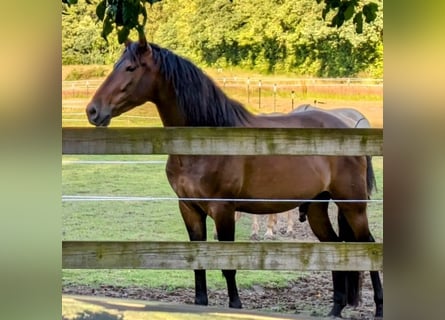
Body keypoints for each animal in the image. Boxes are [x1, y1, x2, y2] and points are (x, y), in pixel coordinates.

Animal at [86, 38, 382, 318]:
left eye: (130, 68)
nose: (93, 111)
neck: (204, 143)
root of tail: (349, 126)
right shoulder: (189, 209)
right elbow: (198, 262)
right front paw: (200, 304)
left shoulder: (223, 210)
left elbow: (228, 265)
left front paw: (235, 306)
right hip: (317, 208)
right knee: (336, 247)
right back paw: (335, 309)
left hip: (353, 206)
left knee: (368, 246)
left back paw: (378, 308)